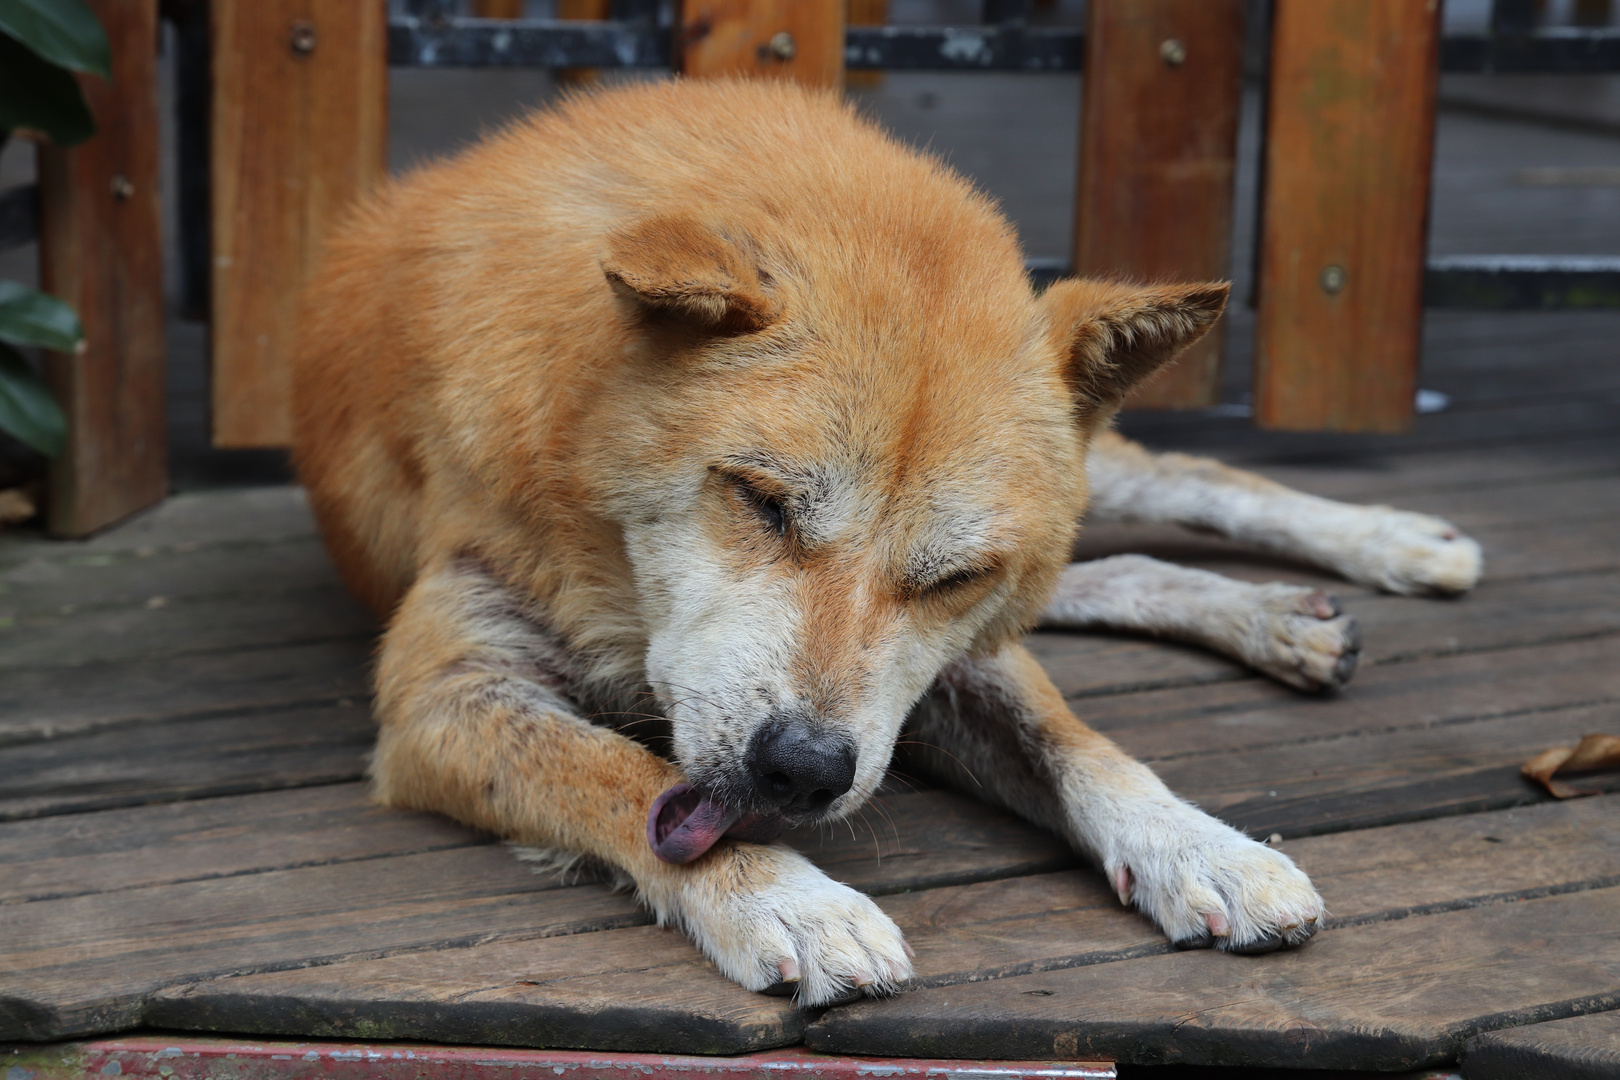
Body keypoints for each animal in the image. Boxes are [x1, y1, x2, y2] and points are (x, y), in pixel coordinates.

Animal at [291, 80, 1483, 1010]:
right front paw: (789, 900)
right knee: (1105, 569)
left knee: (1185, 485)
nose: (803, 770)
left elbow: (1078, 745)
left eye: (955, 575)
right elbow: (617, 775)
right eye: (762, 501)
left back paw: (1384, 547)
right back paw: (1283, 615)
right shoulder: (447, 692)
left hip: (1086, 488)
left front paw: (1205, 847)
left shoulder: (952, 652)